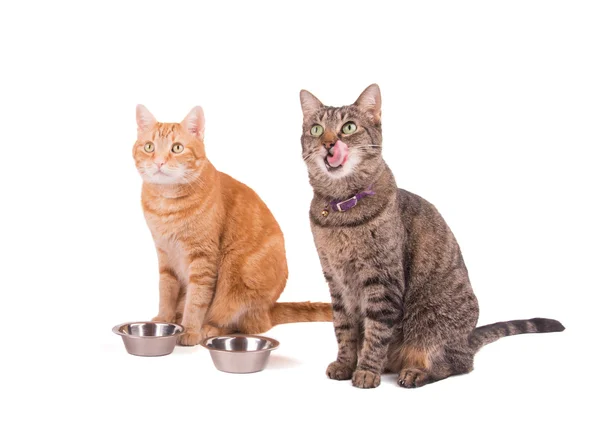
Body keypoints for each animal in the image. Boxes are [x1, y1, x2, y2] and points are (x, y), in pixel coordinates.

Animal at [132, 104, 332, 344]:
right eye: (149, 147)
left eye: (177, 148)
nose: (159, 162)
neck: (166, 204)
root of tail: (270, 307)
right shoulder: (165, 254)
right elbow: (166, 290)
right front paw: (164, 320)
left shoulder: (202, 258)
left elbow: (196, 299)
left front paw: (189, 330)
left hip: (235, 270)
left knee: (245, 324)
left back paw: (208, 329)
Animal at [302, 84, 564, 388]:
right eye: (317, 130)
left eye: (349, 127)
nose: (328, 144)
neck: (341, 210)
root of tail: (466, 340)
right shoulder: (336, 281)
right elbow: (344, 329)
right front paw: (345, 364)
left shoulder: (383, 281)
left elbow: (376, 332)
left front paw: (366, 370)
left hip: (430, 319)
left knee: (456, 364)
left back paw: (415, 372)